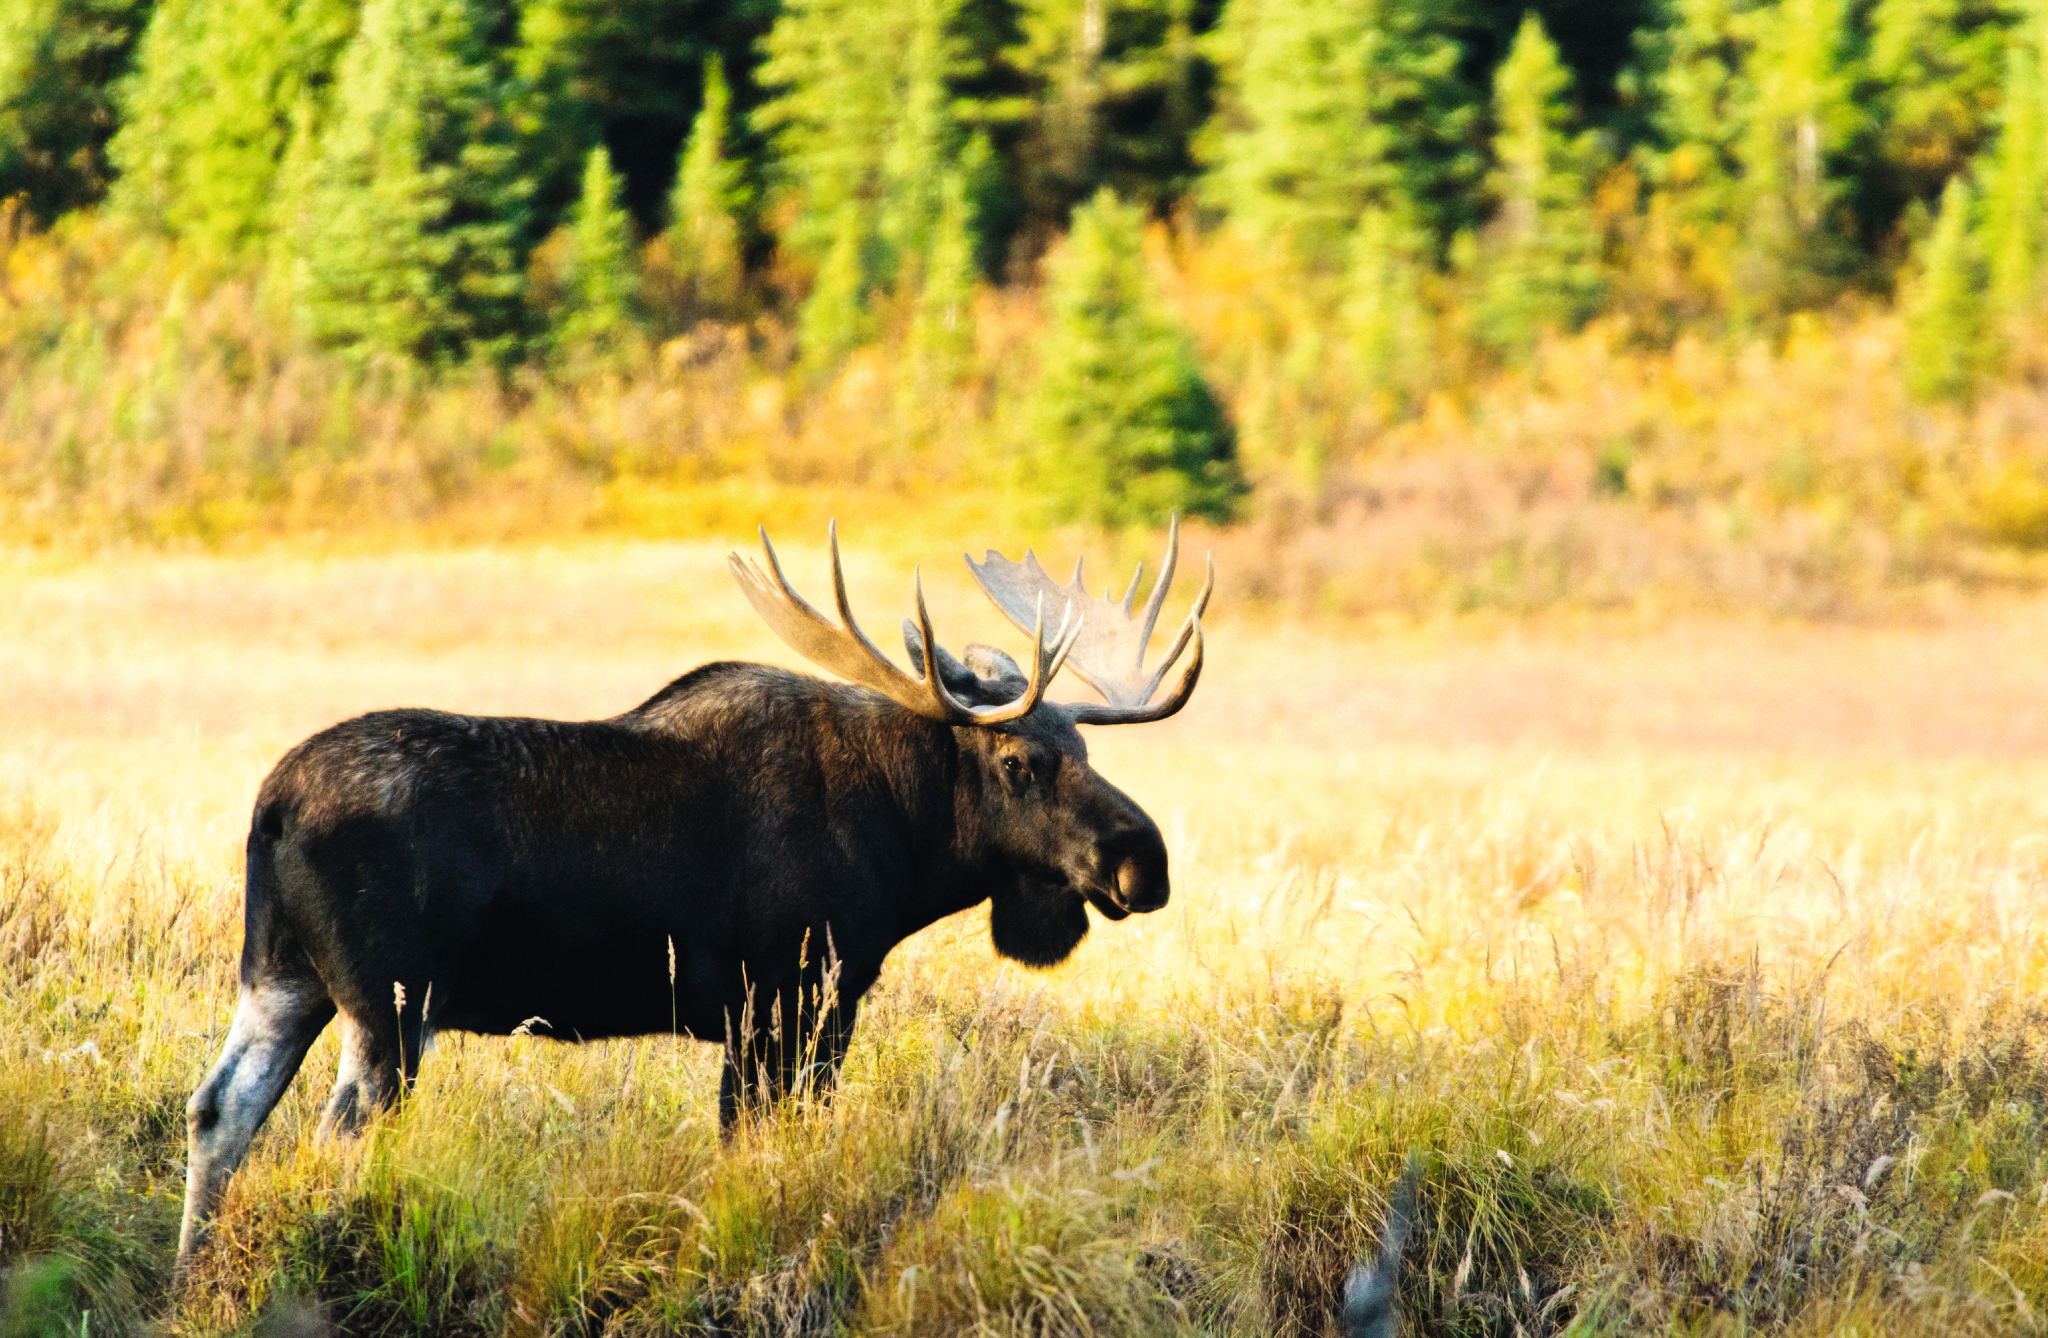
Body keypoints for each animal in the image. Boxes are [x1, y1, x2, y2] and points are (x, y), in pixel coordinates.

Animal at [180, 516, 1212, 1270]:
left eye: (1085, 750)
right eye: (1018, 761)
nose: (1143, 861)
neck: (908, 838)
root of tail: (271, 806)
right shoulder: (794, 998)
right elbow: (757, 1146)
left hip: (283, 978)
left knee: (218, 1111)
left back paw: (191, 1281)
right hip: (392, 1004)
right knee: (333, 1134)